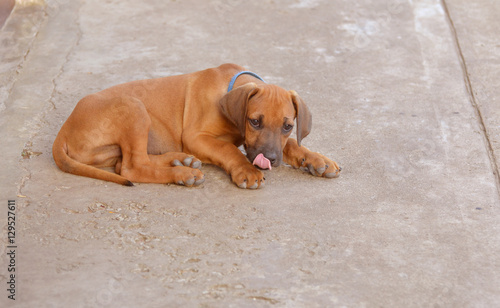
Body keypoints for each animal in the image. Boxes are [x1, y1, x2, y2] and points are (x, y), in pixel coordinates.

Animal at [52, 62, 342, 189]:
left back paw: (180, 160)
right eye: (254, 121)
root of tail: (64, 130)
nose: (270, 159)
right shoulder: (195, 137)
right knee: (131, 167)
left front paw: (316, 159)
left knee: (129, 161)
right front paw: (246, 170)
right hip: (134, 108)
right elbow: (229, 150)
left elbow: (291, 145)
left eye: (287, 126)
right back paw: (182, 173)